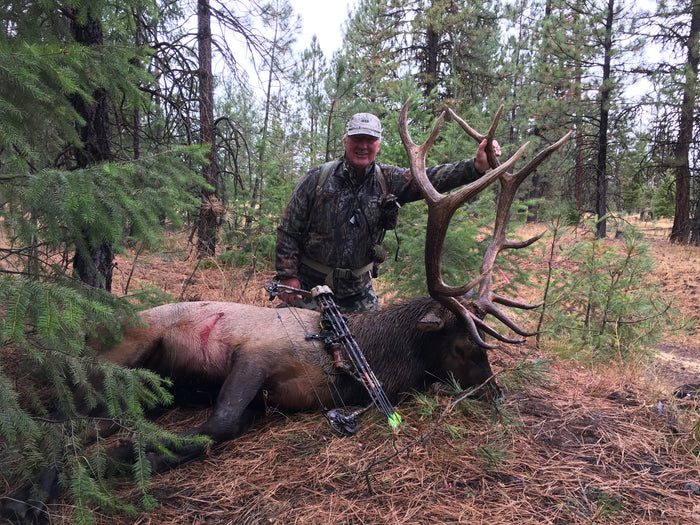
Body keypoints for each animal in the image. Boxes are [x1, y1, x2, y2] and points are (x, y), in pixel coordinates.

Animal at [1, 100, 569, 521]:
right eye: (465, 345)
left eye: (486, 342)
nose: (497, 395)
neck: (356, 360)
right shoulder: (254, 355)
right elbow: (216, 427)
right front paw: (111, 465)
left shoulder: (265, 402)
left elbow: (205, 433)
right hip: (128, 348)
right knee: (64, 414)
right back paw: (29, 493)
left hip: (148, 381)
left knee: (88, 418)